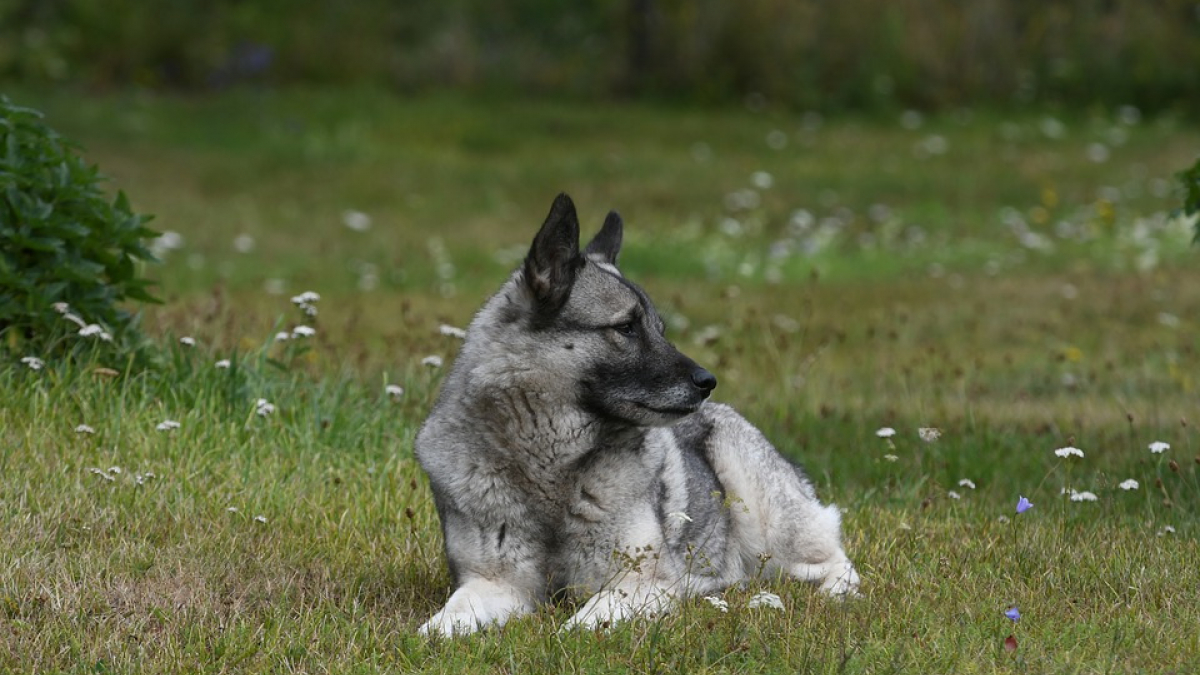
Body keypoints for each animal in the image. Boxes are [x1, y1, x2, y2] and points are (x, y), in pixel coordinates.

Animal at [417, 192, 859, 634]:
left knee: (833, 560)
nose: (708, 381)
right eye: (626, 327)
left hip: (766, 516)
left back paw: (835, 592)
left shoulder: (641, 583)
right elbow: (441, 624)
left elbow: (582, 622)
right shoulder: (494, 584)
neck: (550, 468)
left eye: (659, 329)